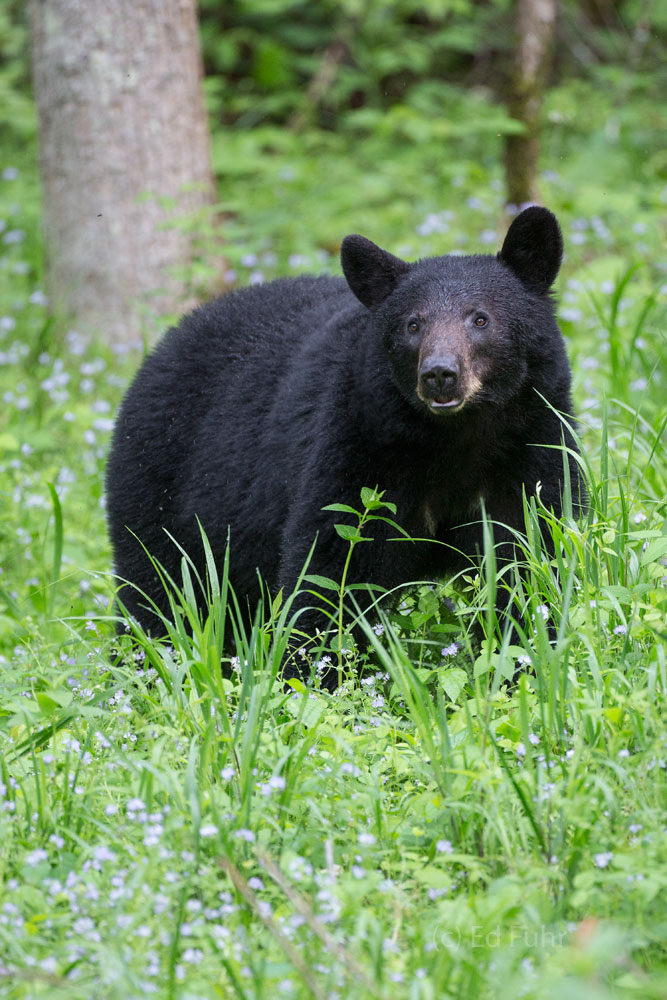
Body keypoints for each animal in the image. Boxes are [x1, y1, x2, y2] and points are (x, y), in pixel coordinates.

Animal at [105, 206, 584, 664]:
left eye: (480, 319)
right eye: (412, 324)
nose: (439, 374)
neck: (455, 439)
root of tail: (165, 342)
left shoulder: (533, 451)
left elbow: (528, 561)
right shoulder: (359, 448)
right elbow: (329, 571)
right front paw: (312, 671)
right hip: (160, 485)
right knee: (159, 592)